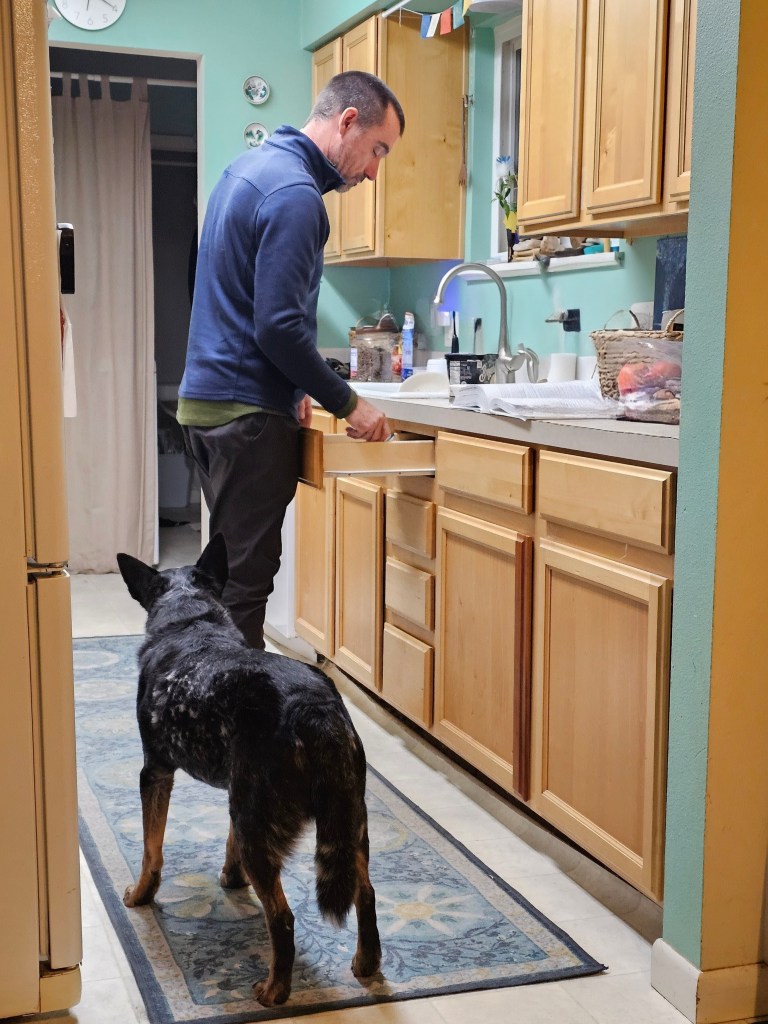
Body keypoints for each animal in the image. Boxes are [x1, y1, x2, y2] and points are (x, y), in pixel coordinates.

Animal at [116, 534, 381, 1007]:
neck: (191, 621)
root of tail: (314, 709)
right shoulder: (236, 792)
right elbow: (228, 842)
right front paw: (231, 877)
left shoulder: (155, 773)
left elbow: (151, 850)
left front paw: (140, 896)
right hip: (347, 821)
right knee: (365, 894)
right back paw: (366, 964)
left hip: (261, 823)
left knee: (283, 918)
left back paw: (275, 989)